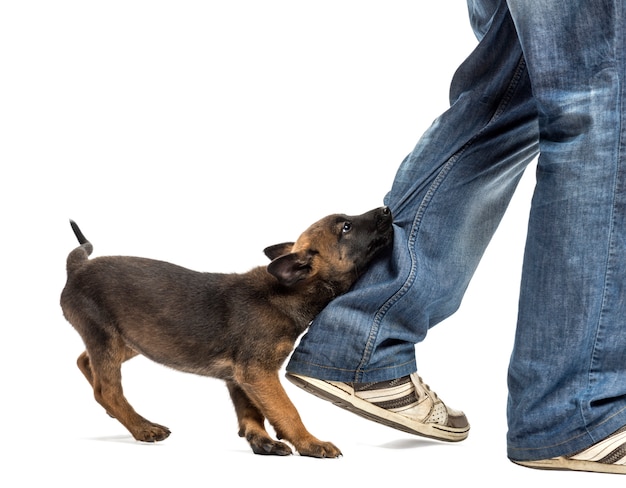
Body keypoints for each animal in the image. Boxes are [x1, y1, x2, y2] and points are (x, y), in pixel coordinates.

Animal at [58, 207, 390, 458]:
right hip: (109, 339)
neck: (286, 292)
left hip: (135, 339)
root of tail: (78, 268)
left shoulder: (240, 377)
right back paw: (141, 427)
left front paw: (261, 441)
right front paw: (309, 442)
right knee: (107, 390)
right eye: (346, 227)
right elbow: (287, 410)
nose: (386, 210)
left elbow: (252, 412)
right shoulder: (257, 372)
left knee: (85, 363)